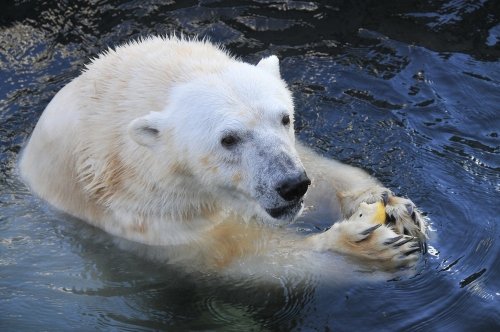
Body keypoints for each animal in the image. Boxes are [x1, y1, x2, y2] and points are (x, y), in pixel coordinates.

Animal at [18, 37, 426, 274]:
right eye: (228, 139)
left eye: (285, 117)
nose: (291, 186)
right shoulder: (143, 209)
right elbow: (247, 259)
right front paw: (362, 247)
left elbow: (320, 169)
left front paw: (394, 207)